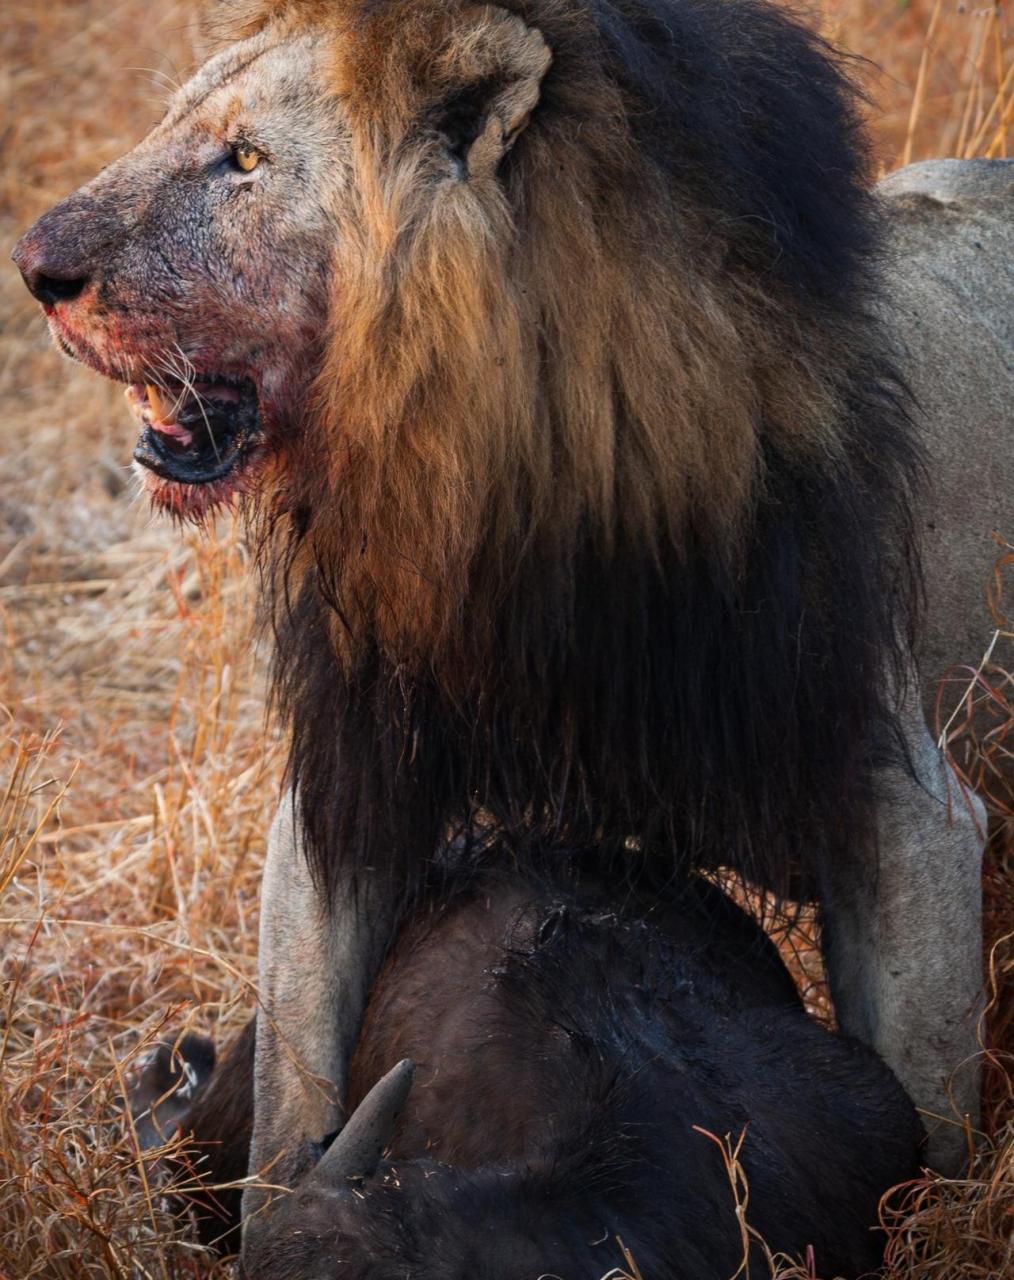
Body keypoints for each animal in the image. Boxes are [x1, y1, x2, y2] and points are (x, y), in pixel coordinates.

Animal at [9, 0, 1014, 1264]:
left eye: (243, 159)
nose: (36, 270)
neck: (509, 486)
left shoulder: (908, 816)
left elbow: (928, 1148)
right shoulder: (353, 787)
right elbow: (294, 1100)